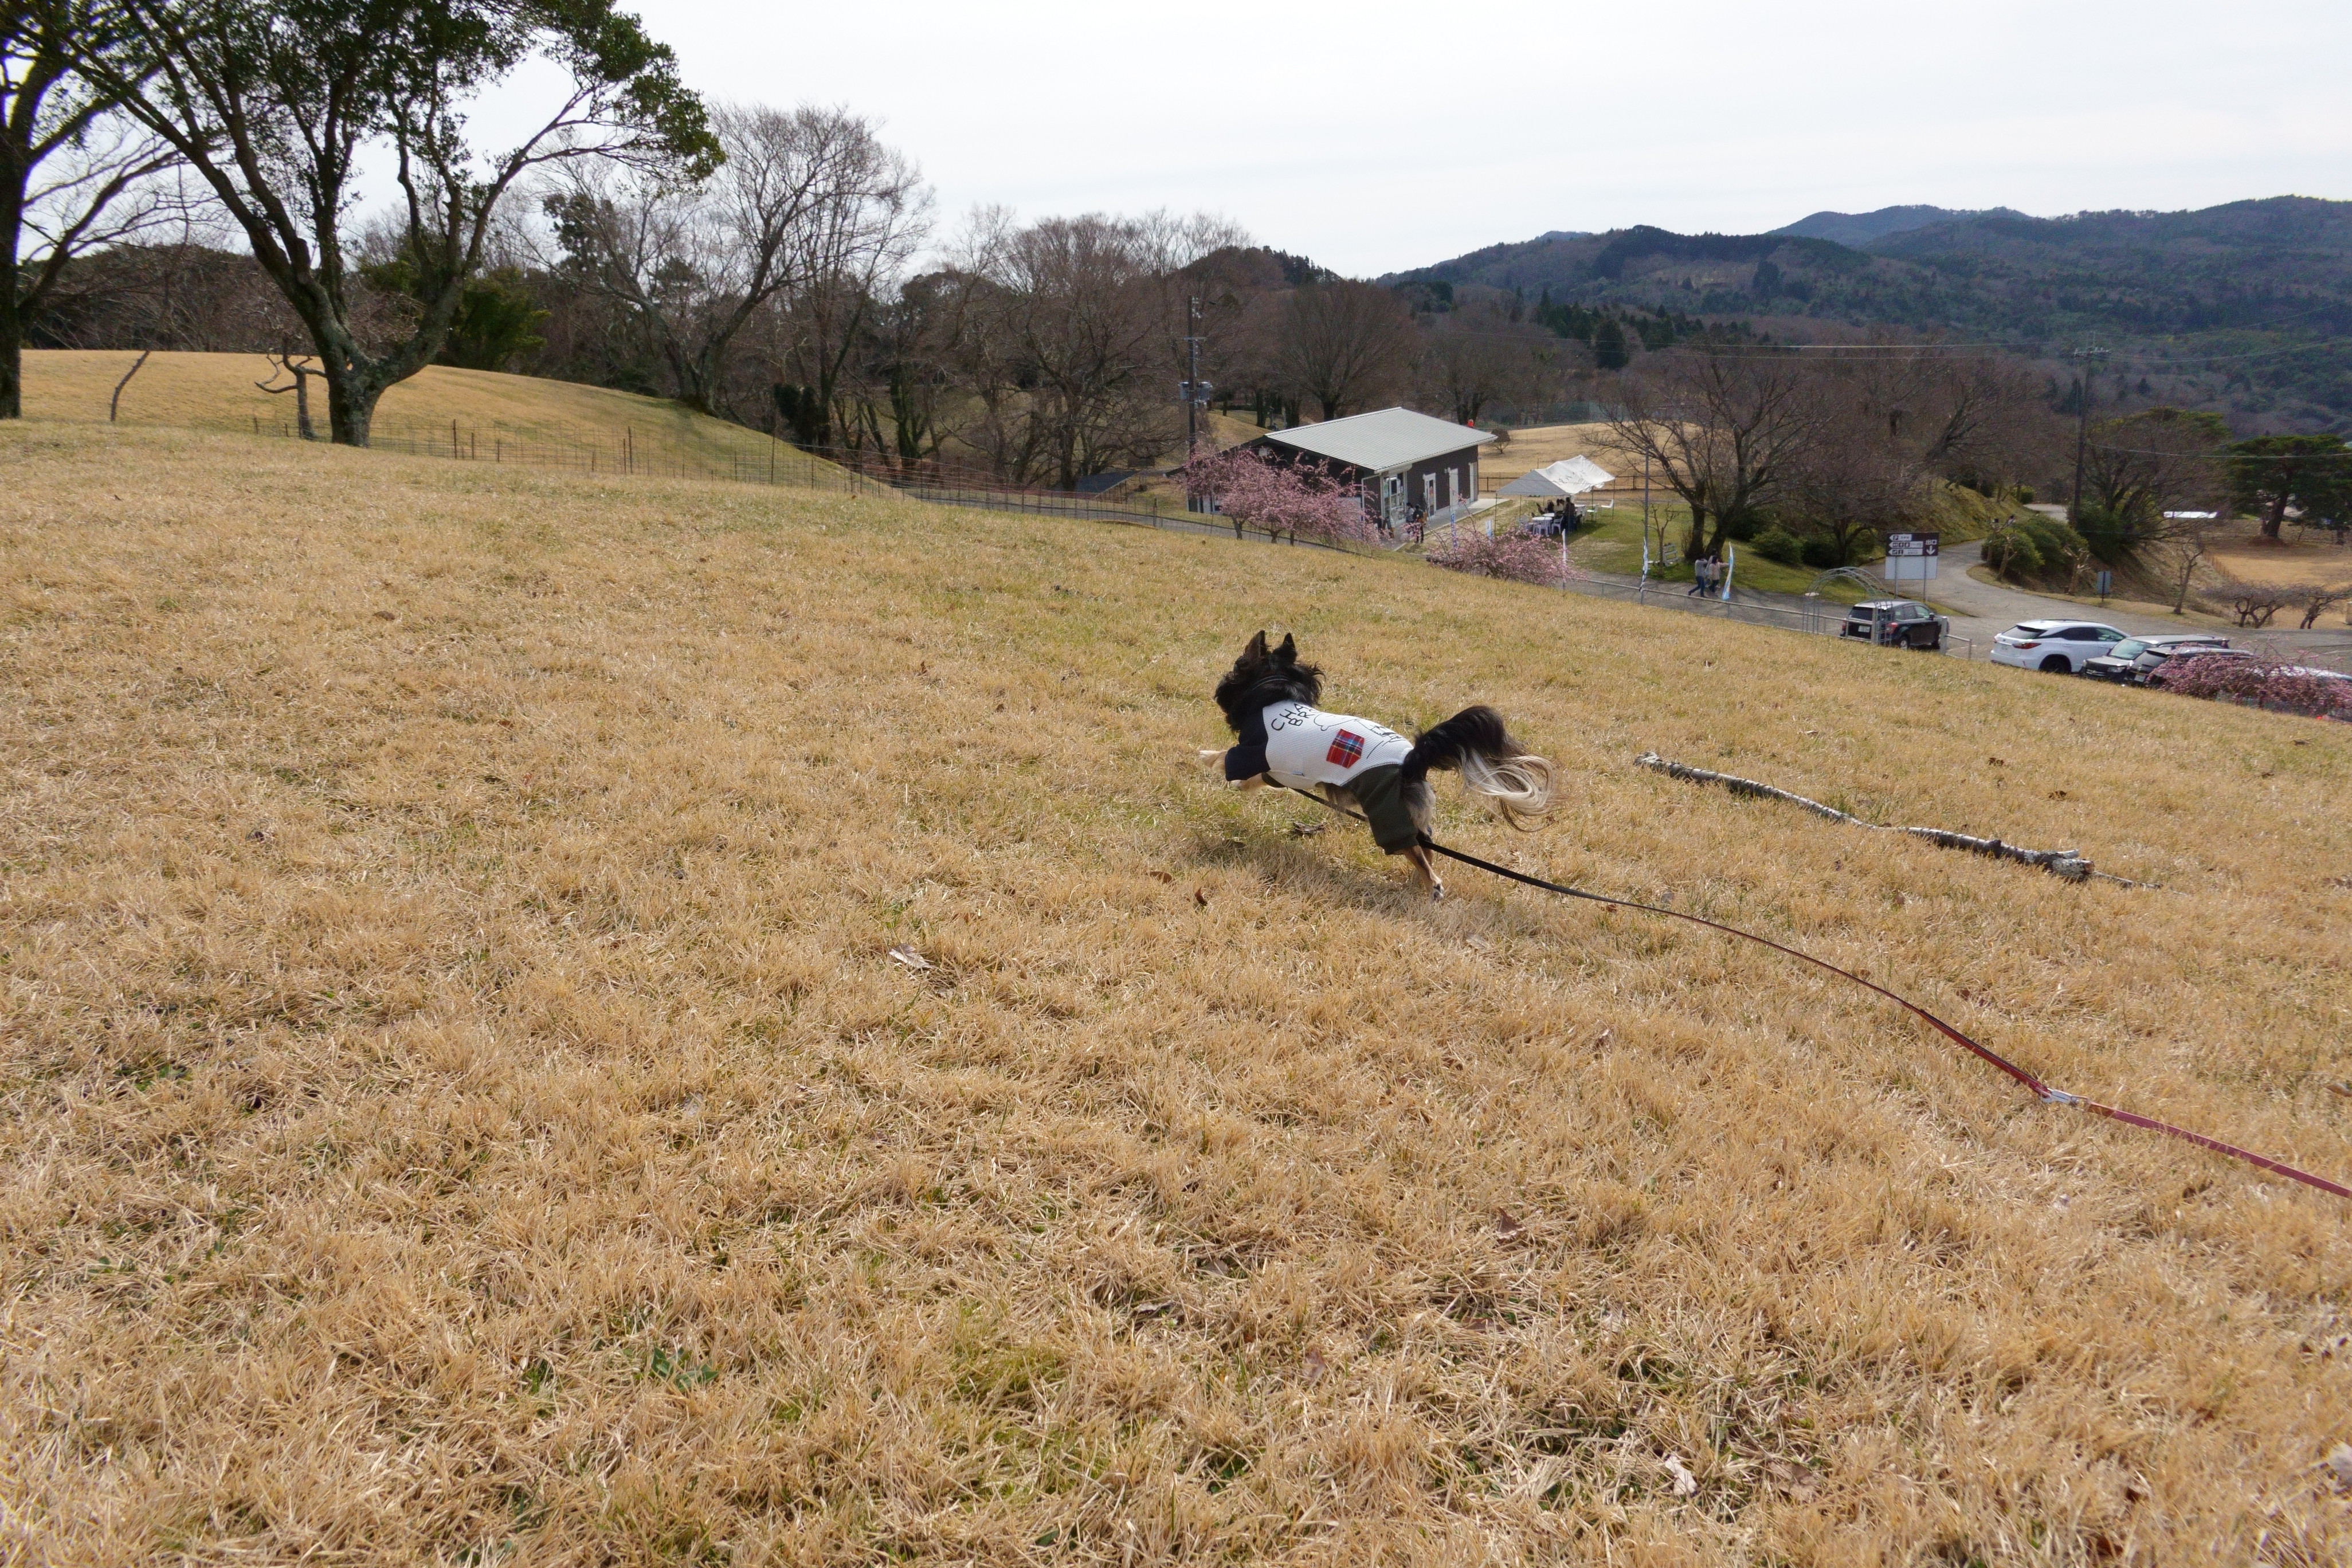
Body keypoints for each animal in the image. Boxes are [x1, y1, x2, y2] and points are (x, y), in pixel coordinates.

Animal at [1204, 625, 1552, 893]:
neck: (1274, 694)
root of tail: (1413, 760)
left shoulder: (1253, 753)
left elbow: (1228, 758)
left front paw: (1209, 758)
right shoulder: (1277, 769)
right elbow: (1257, 779)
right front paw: (1238, 784)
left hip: (1387, 813)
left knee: (1414, 852)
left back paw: (1432, 886)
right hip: (1413, 817)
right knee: (1426, 847)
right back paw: (1418, 884)